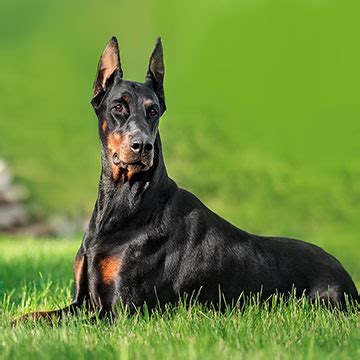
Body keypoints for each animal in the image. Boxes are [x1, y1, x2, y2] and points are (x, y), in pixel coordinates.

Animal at [16, 37, 358, 324]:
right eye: (118, 107)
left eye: (153, 110)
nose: (143, 146)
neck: (125, 201)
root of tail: (347, 277)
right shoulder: (82, 301)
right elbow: (37, 316)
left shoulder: (120, 311)